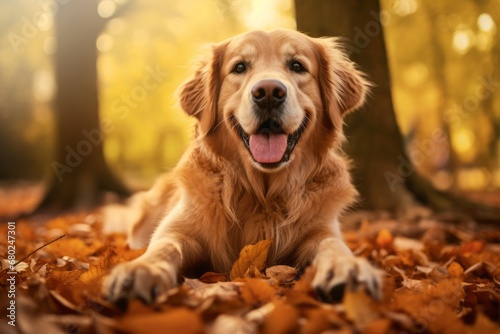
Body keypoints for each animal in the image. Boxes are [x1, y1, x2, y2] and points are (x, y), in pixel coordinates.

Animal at [103, 28, 380, 308]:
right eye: (239, 67)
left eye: (297, 66)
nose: (268, 92)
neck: (262, 197)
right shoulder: (180, 227)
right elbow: (164, 246)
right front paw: (142, 269)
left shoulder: (321, 230)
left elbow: (333, 246)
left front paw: (348, 268)